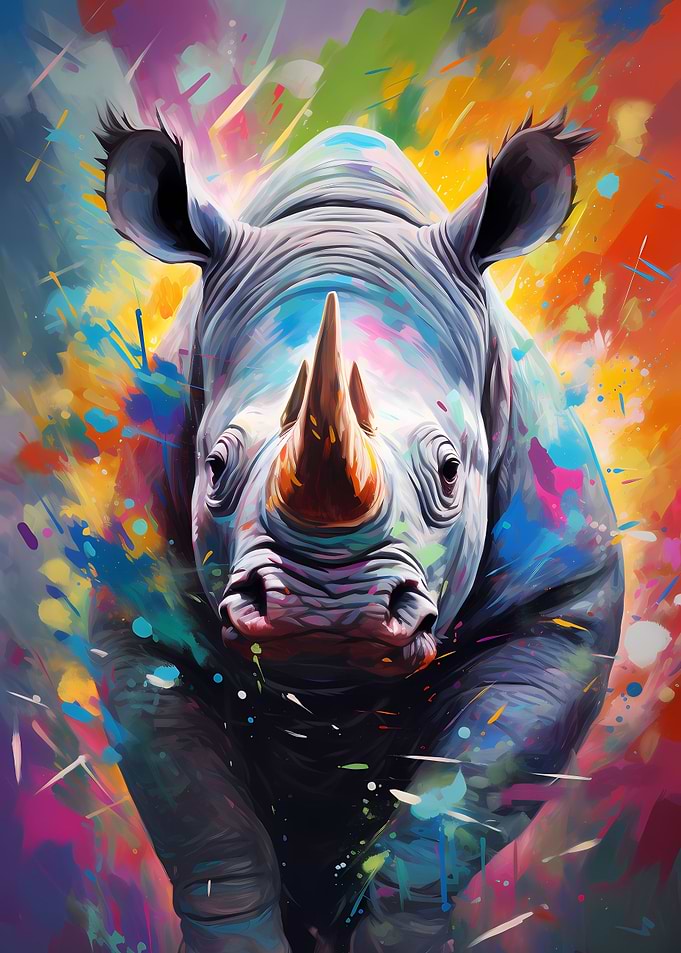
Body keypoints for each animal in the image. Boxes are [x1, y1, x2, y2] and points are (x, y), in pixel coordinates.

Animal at [91, 109, 623, 953]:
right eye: (215, 466)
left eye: (450, 470)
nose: (325, 608)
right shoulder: (138, 624)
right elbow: (211, 836)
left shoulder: (559, 608)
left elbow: (447, 816)